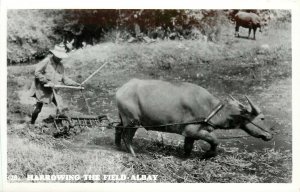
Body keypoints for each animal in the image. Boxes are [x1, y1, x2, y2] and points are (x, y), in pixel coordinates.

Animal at [114, 78, 272, 158]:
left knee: (117, 128)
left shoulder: (190, 134)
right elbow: (214, 140)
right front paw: (209, 154)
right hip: (133, 121)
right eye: (262, 118)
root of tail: (121, 90)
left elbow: (188, 147)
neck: (212, 109)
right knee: (127, 136)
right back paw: (133, 153)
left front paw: (186, 157)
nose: (270, 135)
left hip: (124, 119)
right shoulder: (191, 130)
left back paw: (117, 146)